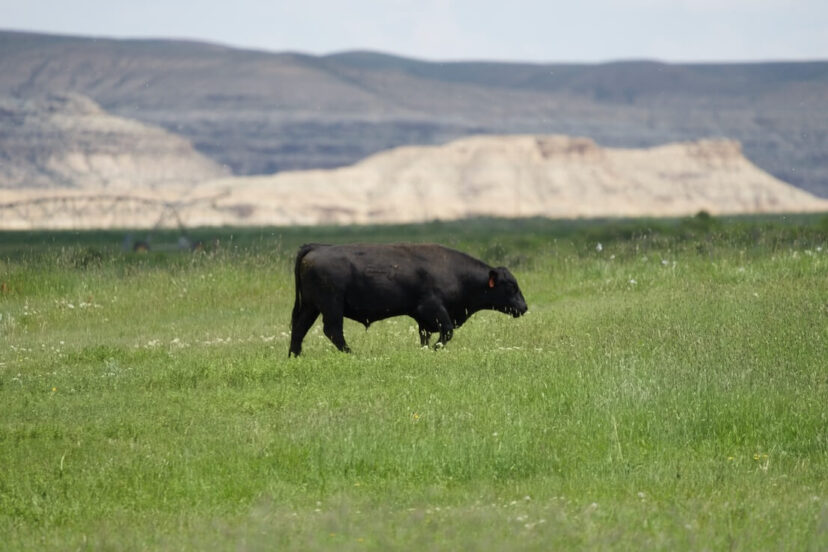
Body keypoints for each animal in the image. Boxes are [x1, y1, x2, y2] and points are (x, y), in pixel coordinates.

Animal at [288, 243, 528, 356]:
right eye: (511, 285)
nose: (524, 307)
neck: (456, 273)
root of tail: (317, 248)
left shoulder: (424, 320)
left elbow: (425, 337)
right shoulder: (434, 309)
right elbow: (447, 332)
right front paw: (436, 349)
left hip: (310, 307)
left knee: (299, 329)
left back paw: (295, 356)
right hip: (331, 307)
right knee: (333, 331)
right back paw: (352, 354)